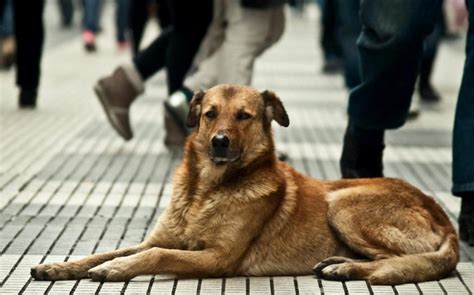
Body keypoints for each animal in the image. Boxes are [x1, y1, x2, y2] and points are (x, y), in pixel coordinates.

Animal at [30, 84, 460, 286]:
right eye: (210, 113)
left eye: (244, 116)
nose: (220, 142)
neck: (205, 192)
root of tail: (442, 214)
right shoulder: (160, 238)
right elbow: (105, 251)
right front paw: (59, 266)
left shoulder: (218, 258)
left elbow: (152, 256)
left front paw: (116, 270)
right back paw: (339, 263)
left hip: (343, 202)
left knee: (395, 260)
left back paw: (346, 268)